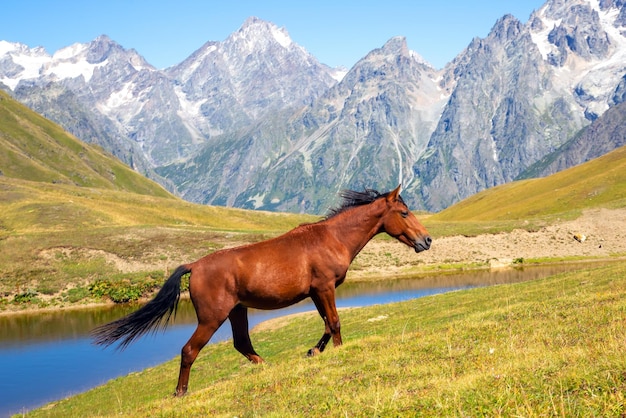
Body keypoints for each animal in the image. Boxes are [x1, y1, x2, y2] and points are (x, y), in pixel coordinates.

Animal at [91, 186, 428, 396]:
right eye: (405, 213)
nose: (426, 241)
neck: (331, 238)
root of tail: (194, 266)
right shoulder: (324, 288)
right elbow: (334, 322)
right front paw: (338, 351)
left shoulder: (317, 292)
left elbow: (324, 324)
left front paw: (313, 351)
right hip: (212, 318)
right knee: (189, 351)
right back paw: (180, 392)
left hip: (237, 311)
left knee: (242, 343)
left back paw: (268, 368)